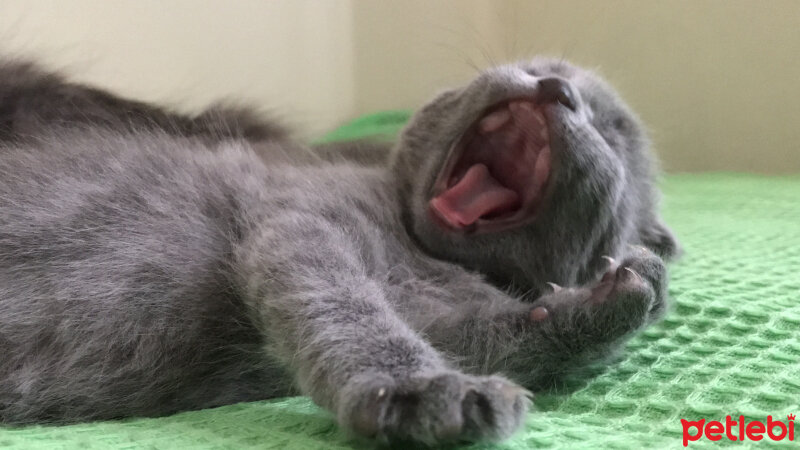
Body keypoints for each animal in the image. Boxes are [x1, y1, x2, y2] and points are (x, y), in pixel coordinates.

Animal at [0, 58, 680, 444]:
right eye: (536, 63)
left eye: (611, 128)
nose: (555, 85)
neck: (427, 255)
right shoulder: (303, 223)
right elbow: (348, 308)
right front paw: (416, 390)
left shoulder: (448, 314)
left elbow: (496, 331)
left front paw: (623, 292)